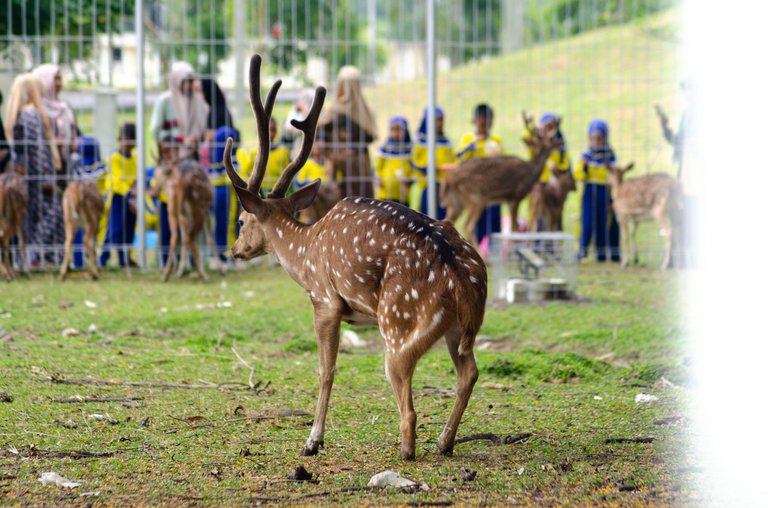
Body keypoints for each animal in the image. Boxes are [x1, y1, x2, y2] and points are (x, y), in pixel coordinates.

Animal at [225, 55, 486, 460]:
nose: (235, 249)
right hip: (460, 328)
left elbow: (326, 370)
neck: (304, 252)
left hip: (397, 323)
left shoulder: (324, 301)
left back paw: (407, 450)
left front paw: (312, 440)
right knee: (469, 372)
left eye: (240, 220)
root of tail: (459, 275)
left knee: (408, 396)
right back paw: (444, 442)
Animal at [440, 115, 560, 250]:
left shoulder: (509, 200)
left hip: (455, 203)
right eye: (550, 140)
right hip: (476, 199)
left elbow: (514, 229)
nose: (561, 143)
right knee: (468, 226)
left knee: (446, 221)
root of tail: (447, 178)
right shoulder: (515, 196)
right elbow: (514, 229)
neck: (530, 172)